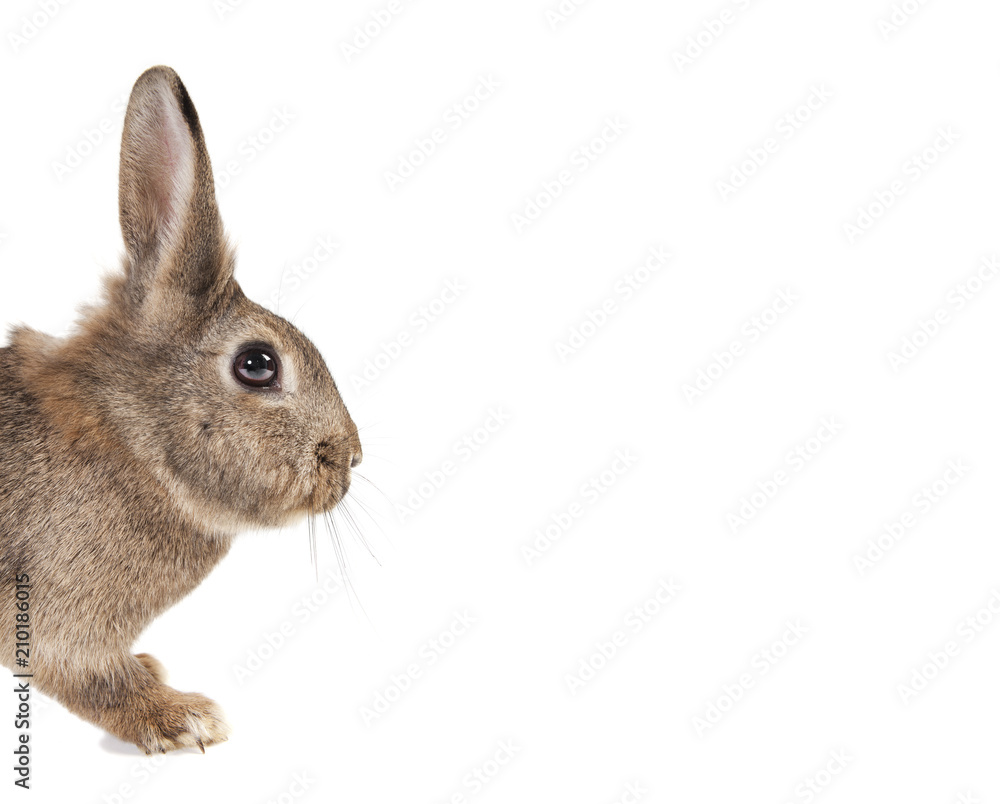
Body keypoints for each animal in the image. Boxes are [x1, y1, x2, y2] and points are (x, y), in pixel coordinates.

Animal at [0, 66, 362, 753]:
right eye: (257, 364)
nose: (351, 458)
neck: (129, 436)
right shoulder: (57, 622)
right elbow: (90, 678)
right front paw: (181, 718)